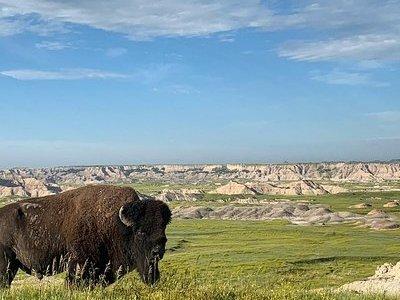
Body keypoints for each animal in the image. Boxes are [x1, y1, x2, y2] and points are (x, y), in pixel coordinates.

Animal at [0, 184, 170, 288]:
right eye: (140, 232)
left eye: (163, 232)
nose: (158, 251)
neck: (117, 223)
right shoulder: (79, 262)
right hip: (6, 264)